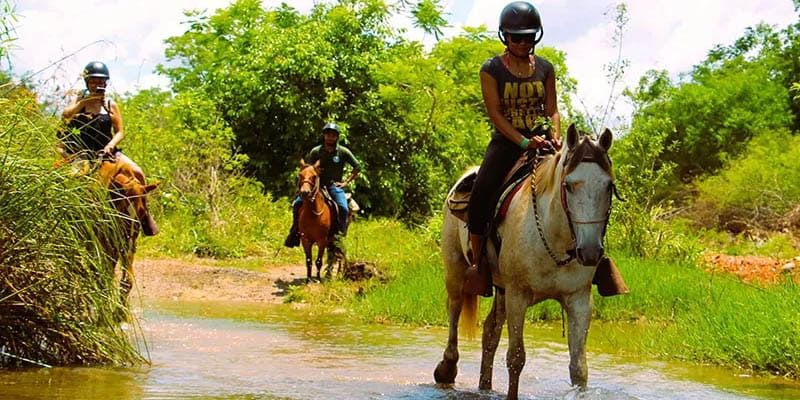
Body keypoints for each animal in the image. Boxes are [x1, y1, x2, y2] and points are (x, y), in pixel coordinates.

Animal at [434, 124, 616, 396]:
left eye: (608, 186)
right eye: (569, 185)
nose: (591, 251)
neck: (554, 238)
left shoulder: (579, 299)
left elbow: (579, 368)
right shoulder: (517, 295)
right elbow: (516, 358)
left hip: (500, 288)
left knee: (490, 331)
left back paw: (485, 387)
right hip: (456, 271)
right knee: (454, 313)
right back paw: (447, 369)